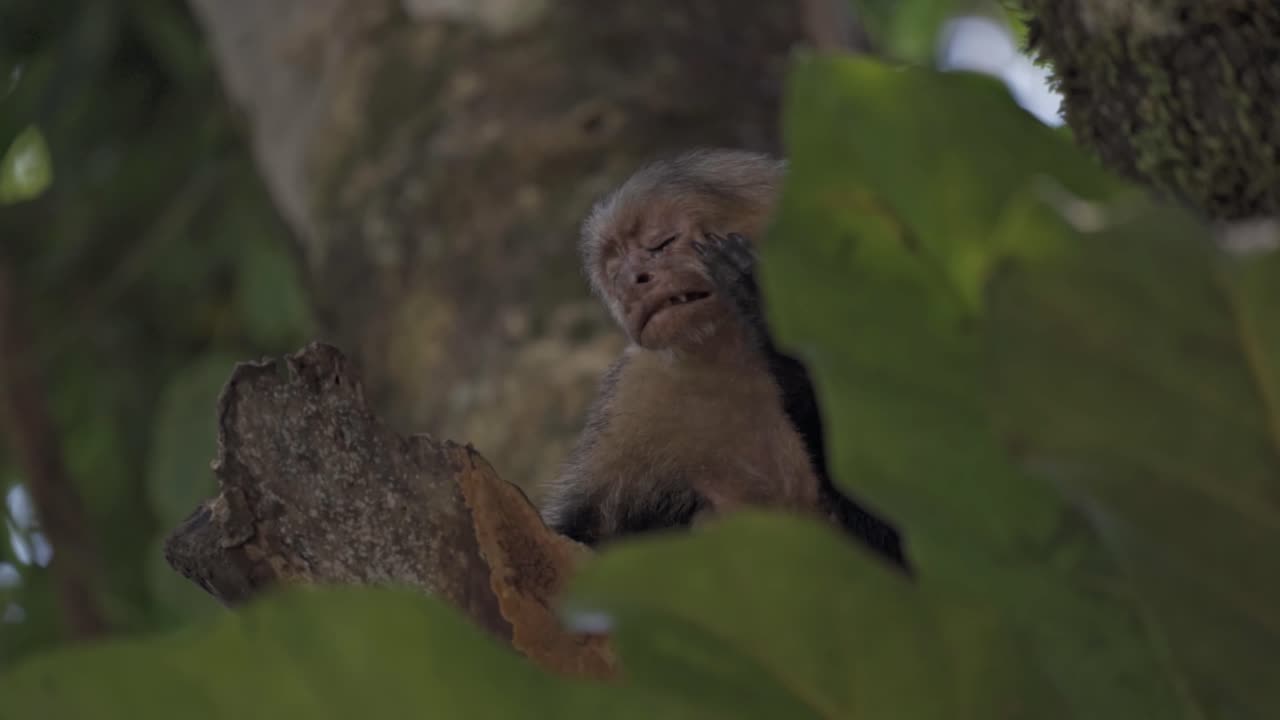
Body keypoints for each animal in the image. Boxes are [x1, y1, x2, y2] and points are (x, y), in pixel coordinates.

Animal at [538, 148, 909, 572]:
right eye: (615, 272)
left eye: (661, 243)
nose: (632, 281)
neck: (734, 357)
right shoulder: (637, 388)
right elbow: (586, 530)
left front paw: (765, 310)